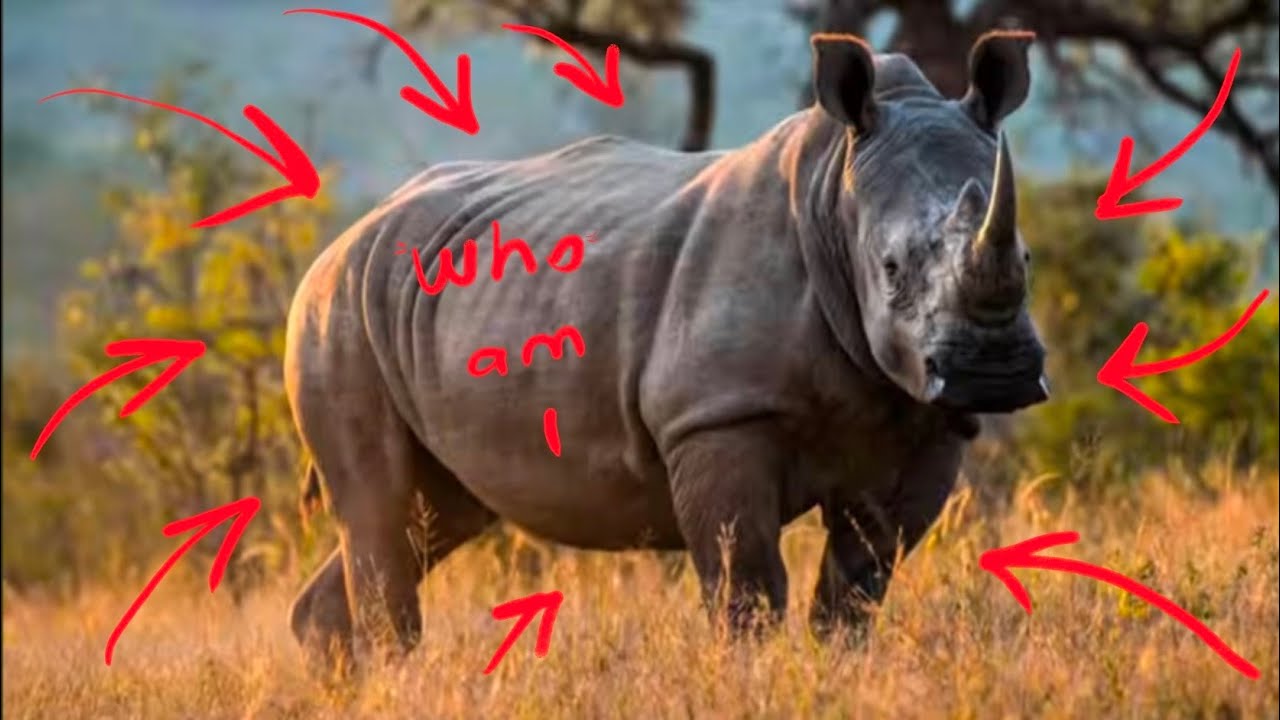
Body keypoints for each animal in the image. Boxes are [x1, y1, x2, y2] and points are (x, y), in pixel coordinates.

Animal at [284, 30, 1049, 665]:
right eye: (889, 268)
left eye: (1029, 258)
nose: (995, 372)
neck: (837, 193)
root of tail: (349, 233)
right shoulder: (716, 416)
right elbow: (747, 585)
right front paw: (748, 678)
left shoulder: (928, 422)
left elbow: (858, 584)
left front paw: (839, 671)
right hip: (337, 310)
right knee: (382, 506)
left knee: (434, 510)